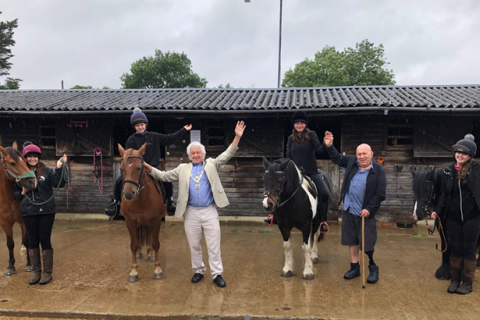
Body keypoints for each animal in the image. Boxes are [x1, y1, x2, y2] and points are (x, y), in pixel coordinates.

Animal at [0, 142, 37, 276]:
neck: (8, 198)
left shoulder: (23, 220)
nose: (33, 181)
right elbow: (10, 243)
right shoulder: (5, 223)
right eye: (12, 163)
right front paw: (11, 266)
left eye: (25, 162)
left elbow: (27, 240)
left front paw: (29, 264)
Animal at [118, 143, 167, 282]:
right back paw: (140, 252)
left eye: (139, 168)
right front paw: (133, 272)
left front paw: (158, 270)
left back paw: (150, 254)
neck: (141, 199)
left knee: (150, 237)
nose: (129, 194)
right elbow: (133, 245)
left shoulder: (155, 221)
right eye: (121, 168)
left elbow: (155, 243)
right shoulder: (130, 222)